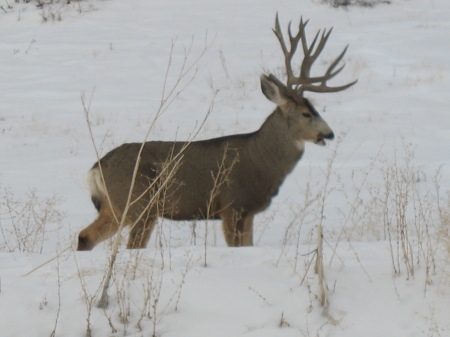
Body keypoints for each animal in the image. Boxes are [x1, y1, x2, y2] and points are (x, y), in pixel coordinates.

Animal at [78, 15, 358, 251]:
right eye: (307, 113)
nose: (329, 134)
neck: (262, 160)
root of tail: (96, 167)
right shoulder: (232, 204)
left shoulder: (248, 212)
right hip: (140, 204)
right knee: (128, 245)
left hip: (116, 207)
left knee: (85, 236)